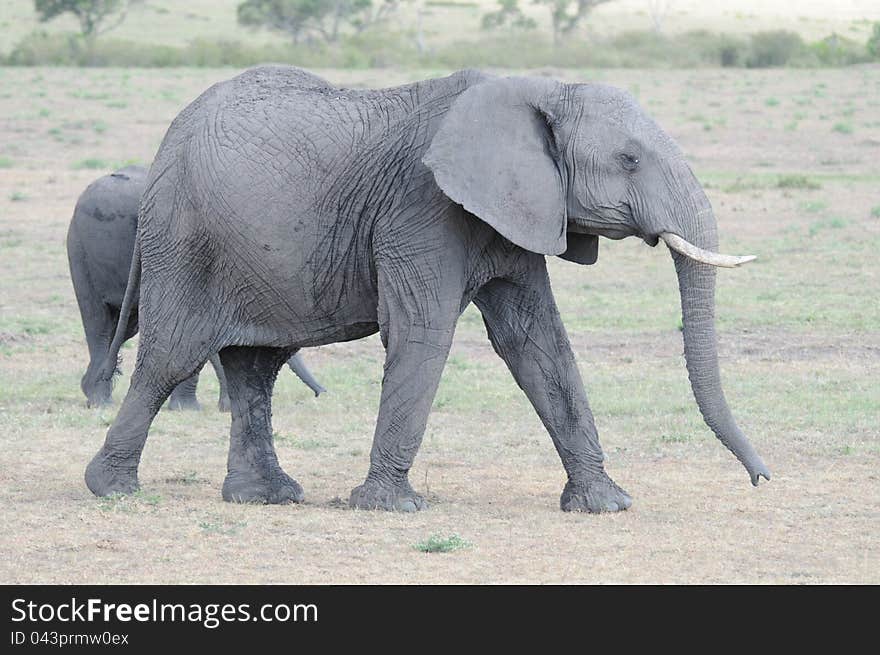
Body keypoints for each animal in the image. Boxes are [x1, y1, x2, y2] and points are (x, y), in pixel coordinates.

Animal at [66, 164, 326, 410]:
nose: (321, 394)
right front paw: (190, 409)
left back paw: (92, 392)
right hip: (80, 253)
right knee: (98, 322)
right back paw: (101, 401)